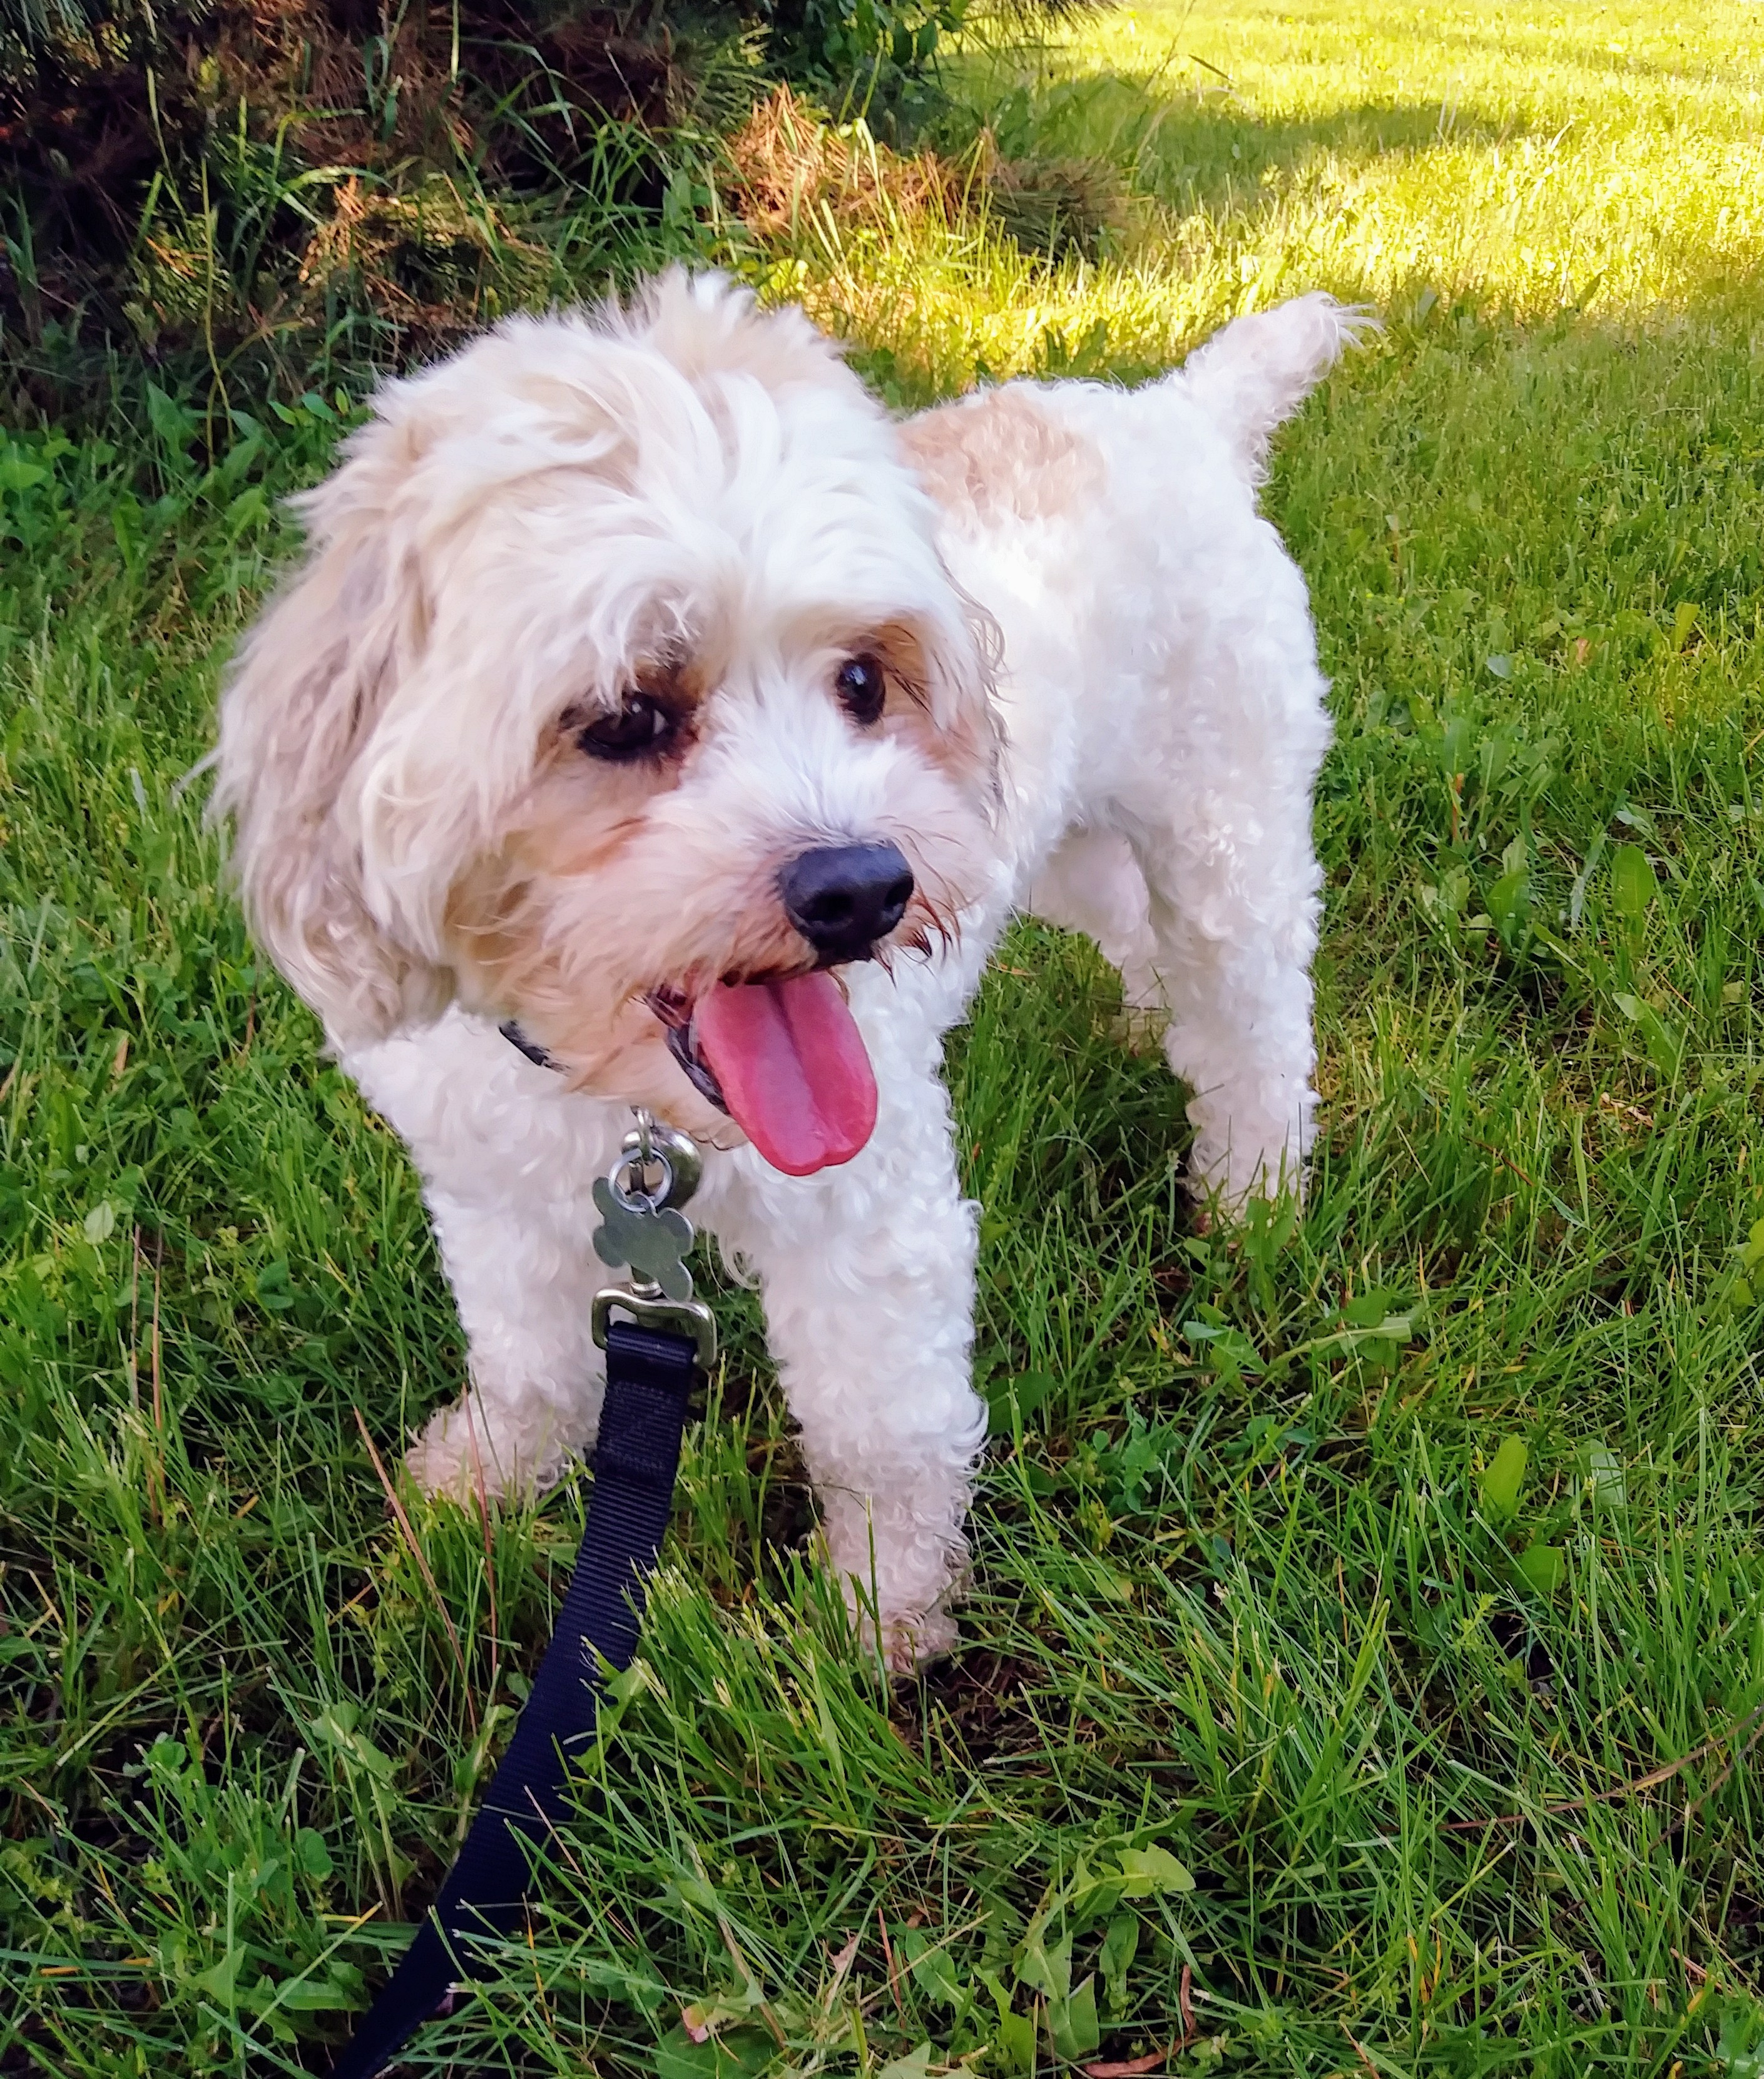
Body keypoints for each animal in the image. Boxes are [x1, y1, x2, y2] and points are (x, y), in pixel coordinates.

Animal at [210, 272, 1363, 1671]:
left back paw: (1252, 1202)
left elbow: (883, 1432)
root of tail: (1173, 410)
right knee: (1144, 952)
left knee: (1252, 1029)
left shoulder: (868, 1224)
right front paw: (478, 1481)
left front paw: (877, 1609)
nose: (862, 889)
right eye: (625, 716)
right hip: (1062, 849)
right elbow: (529, 1360)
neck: (624, 1095)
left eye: (862, 679)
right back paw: (1148, 1032)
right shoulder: (492, 1189)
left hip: (1223, 831)